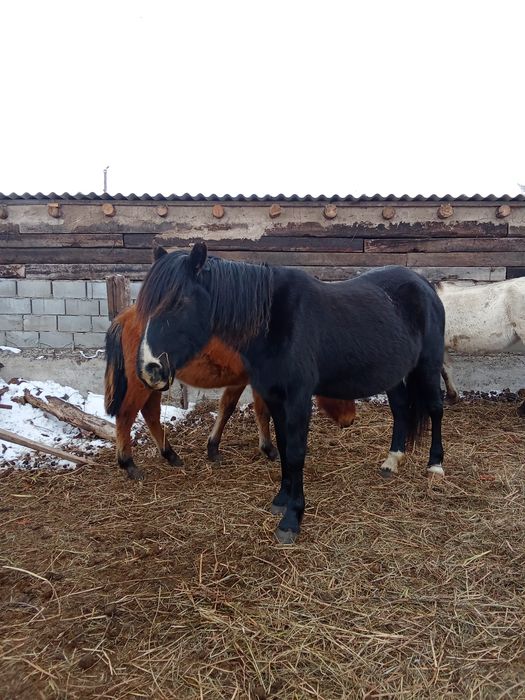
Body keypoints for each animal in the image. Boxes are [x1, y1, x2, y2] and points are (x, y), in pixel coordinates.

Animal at [105, 304, 356, 480]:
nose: (350, 419)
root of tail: (125, 316)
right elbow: (263, 413)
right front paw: (270, 449)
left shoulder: (240, 381)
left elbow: (227, 408)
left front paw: (213, 448)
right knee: (125, 417)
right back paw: (128, 464)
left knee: (151, 415)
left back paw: (170, 454)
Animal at [135, 243, 445, 544]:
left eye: (180, 302)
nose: (150, 369)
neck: (273, 322)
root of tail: (424, 284)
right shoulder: (274, 397)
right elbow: (283, 446)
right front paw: (282, 499)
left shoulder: (298, 398)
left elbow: (296, 453)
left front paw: (292, 519)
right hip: (393, 373)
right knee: (401, 409)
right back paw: (392, 461)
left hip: (429, 364)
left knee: (435, 409)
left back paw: (435, 466)